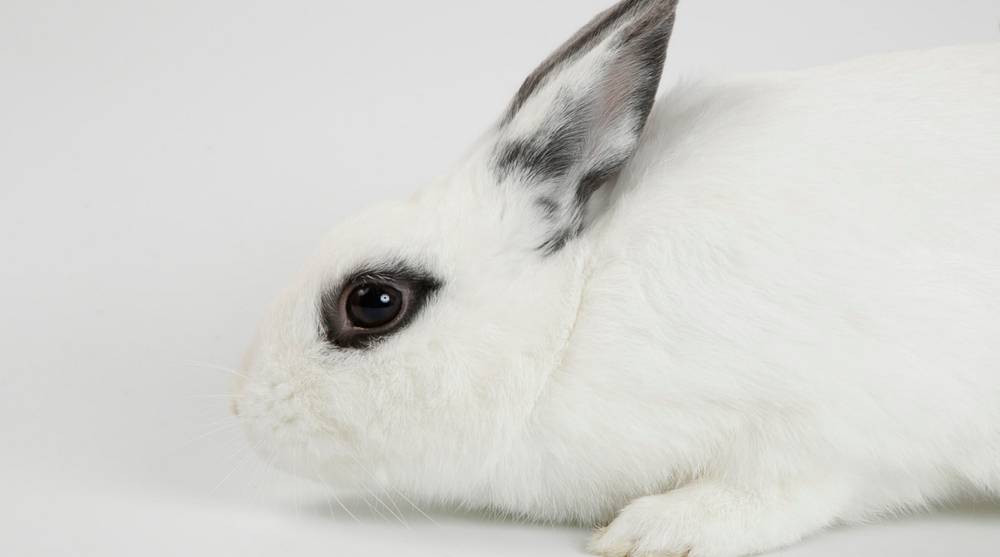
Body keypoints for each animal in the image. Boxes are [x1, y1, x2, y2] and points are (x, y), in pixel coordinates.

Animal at [233, 0, 1000, 555]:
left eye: (374, 301)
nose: (242, 409)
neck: (571, 316)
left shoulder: (825, 426)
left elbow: (780, 492)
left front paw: (650, 532)